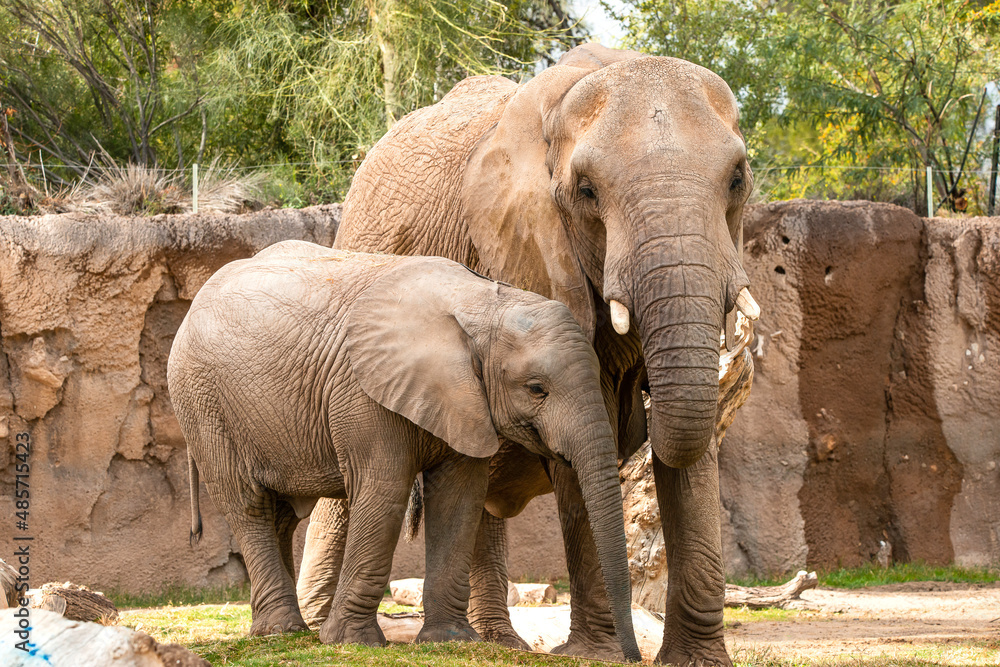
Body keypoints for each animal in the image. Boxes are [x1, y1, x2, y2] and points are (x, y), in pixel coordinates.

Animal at [168, 240, 641, 659]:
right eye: (536, 388)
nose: (633, 657)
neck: (483, 304)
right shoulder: (362, 390)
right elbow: (384, 491)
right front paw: (350, 643)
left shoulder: (466, 401)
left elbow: (460, 498)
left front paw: (451, 641)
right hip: (202, 401)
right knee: (249, 505)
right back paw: (281, 632)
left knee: (280, 515)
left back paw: (282, 630)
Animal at [298, 43, 760, 666]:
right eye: (586, 191)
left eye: (737, 179)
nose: (636, 653)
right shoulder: (534, 252)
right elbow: (584, 433)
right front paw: (599, 654)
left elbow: (691, 440)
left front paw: (697, 661)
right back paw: (317, 630)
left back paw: (492, 640)